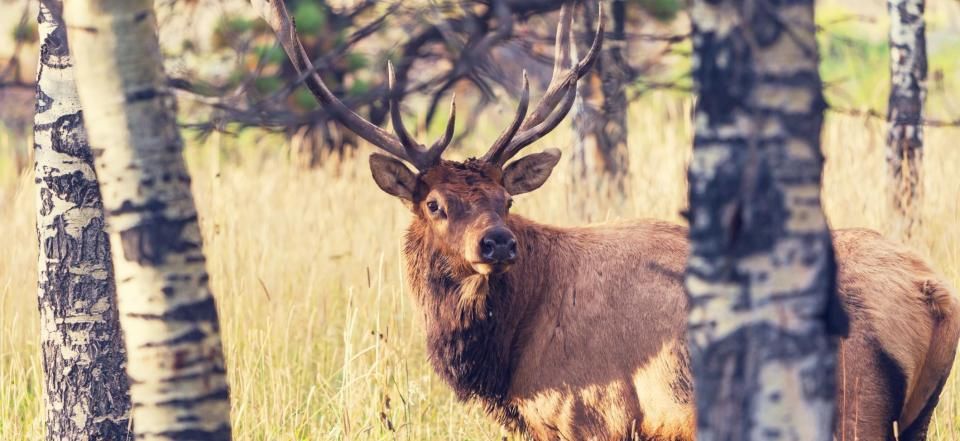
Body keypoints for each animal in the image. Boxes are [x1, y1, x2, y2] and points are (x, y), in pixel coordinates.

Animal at [252, 1, 960, 439]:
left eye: (506, 200)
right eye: (436, 203)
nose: (498, 243)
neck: (506, 358)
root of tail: (934, 295)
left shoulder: (587, 417)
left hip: (847, 410)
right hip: (915, 419)